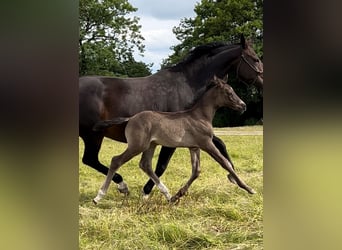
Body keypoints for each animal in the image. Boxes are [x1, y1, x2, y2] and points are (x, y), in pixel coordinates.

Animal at [79, 34, 264, 195]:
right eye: (255, 59)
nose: (262, 83)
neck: (188, 83)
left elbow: (220, 144)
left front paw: (233, 177)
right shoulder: (173, 138)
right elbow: (161, 166)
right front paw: (149, 191)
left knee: (92, 160)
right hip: (93, 136)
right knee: (91, 159)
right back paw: (121, 185)